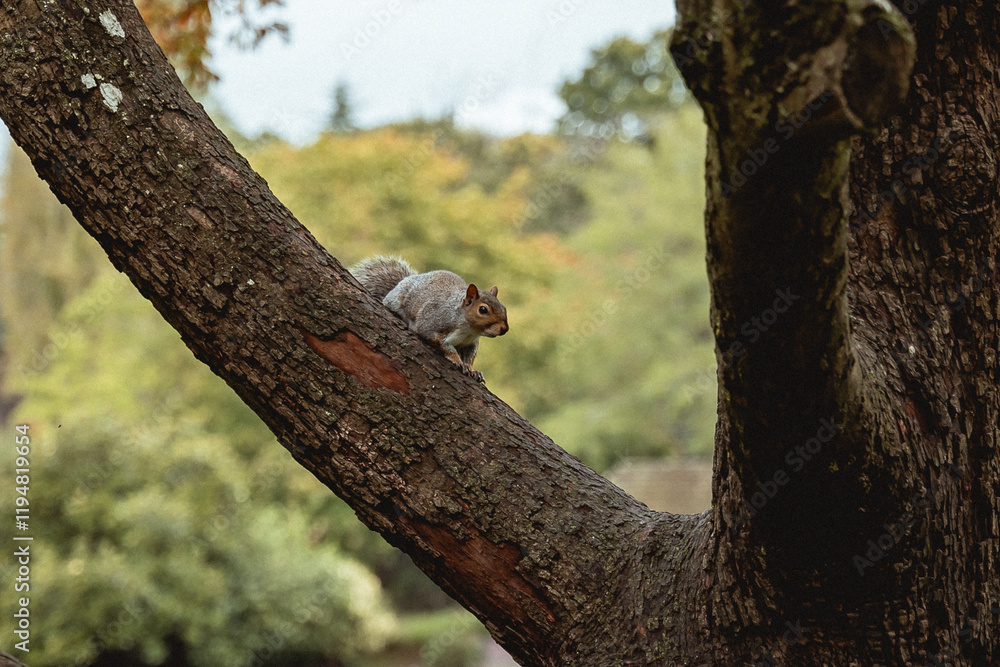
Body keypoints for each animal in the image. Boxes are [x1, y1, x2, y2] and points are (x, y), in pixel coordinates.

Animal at [350, 255, 509, 382]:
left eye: (504, 307)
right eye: (483, 310)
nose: (505, 329)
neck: (468, 330)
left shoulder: (470, 343)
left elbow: (470, 356)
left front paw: (473, 370)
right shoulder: (432, 324)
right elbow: (443, 345)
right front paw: (456, 360)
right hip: (397, 300)